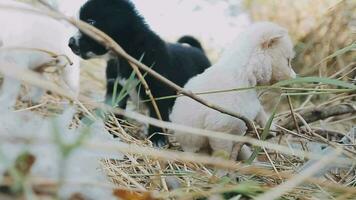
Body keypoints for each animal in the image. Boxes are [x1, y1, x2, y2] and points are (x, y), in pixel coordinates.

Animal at [68, 0, 210, 147]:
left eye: (90, 22)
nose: (70, 43)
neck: (127, 54)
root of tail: (199, 50)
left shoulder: (158, 91)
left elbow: (157, 115)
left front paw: (157, 139)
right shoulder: (116, 87)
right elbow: (116, 111)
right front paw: (113, 132)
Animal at [168, 21, 296, 159]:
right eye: (288, 61)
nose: (295, 77)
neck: (244, 73)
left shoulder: (253, 105)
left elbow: (260, 112)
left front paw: (270, 127)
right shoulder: (219, 129)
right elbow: (223, 153)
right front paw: (225, 165)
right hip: (196, 144)